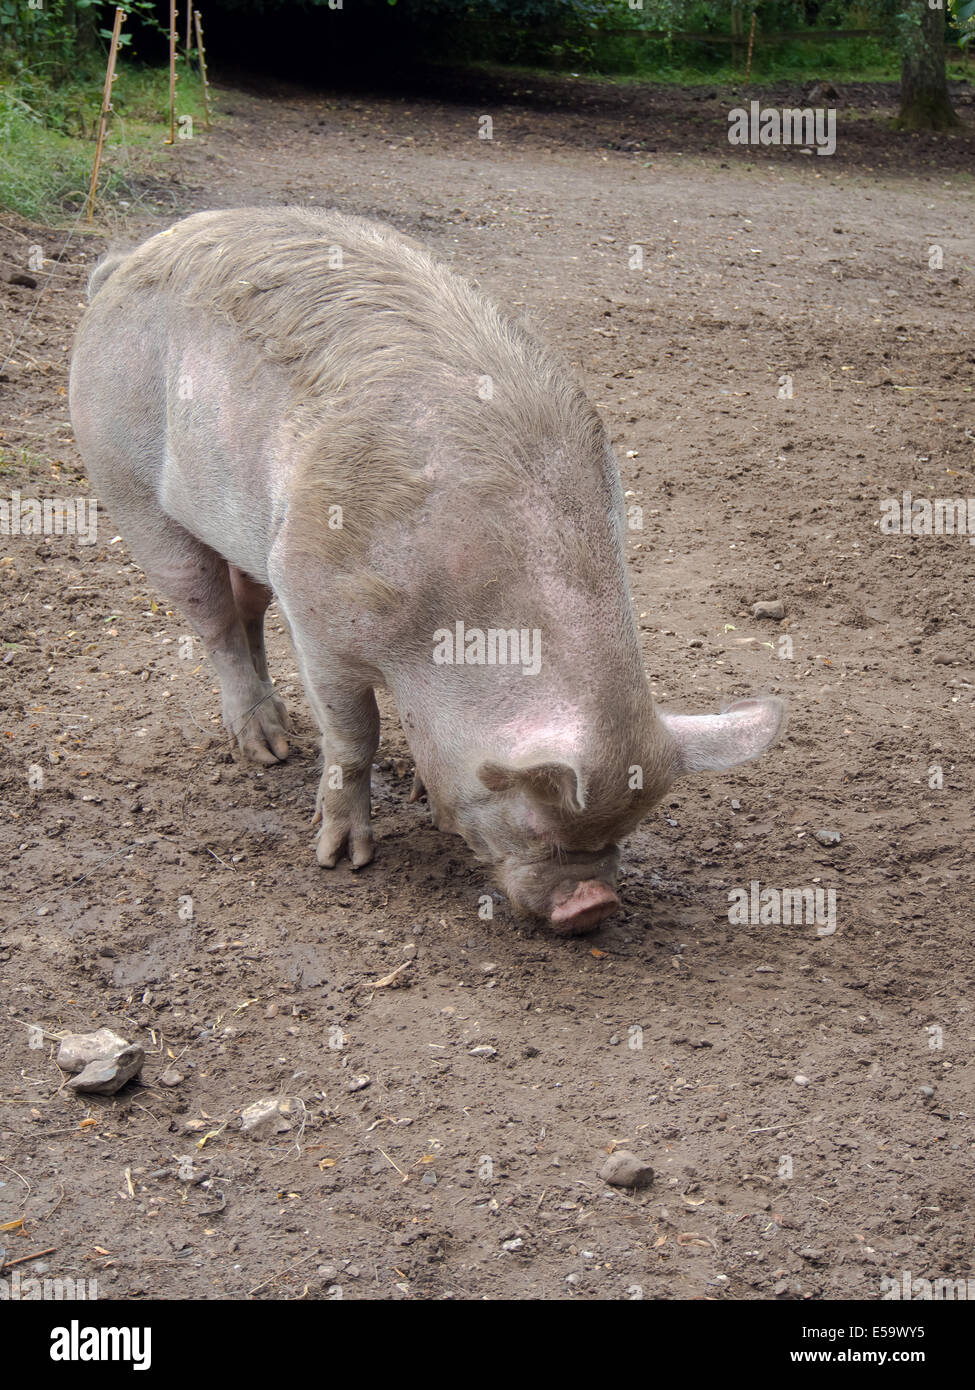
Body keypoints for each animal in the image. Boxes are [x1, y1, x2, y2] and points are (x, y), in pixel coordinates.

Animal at [70, 208, 784, 934]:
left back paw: (282, 735)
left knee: (248, 609)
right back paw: (267, 749)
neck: (446, 629)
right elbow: (354, 737)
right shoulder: (321, 619)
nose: (592, 904)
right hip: (125, 479)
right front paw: (340, 859)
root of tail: (126, 263)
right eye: (535, 819)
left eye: (626, 831)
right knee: (210, 616)